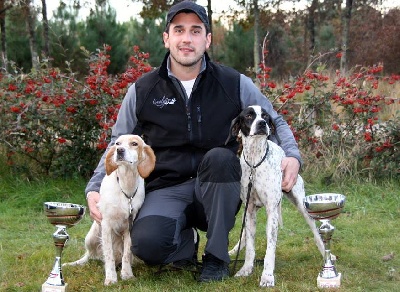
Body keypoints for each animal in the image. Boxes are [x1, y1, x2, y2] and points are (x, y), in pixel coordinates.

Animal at [227, 105, 324, 288]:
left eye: (265, 116)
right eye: (249, 116)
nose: (262, 123)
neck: (255, 161)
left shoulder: (271, 211)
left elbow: (270, 250)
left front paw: (267, 277)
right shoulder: (249, 210)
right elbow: (250, 247)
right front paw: (246, 269)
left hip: (303, 207)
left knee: (317, 235)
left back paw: (327, 256)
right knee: (244, 236)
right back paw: (235, 250)